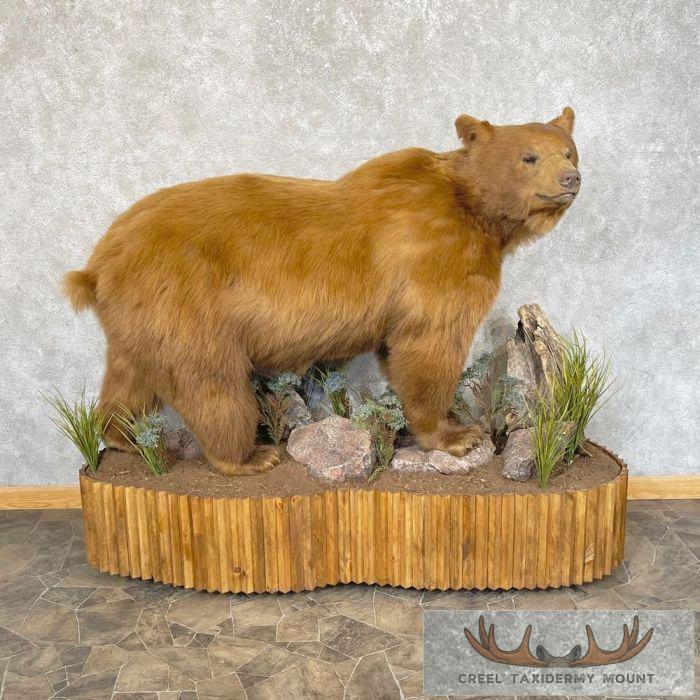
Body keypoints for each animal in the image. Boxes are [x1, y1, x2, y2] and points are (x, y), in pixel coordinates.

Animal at [64, 107, 580, 476]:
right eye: (529, 156)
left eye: (569, 151)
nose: (570, 179)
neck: (474, 210)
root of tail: (95, 268)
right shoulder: (436, 261)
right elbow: (429, 345)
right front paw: (457, 434)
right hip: (186, 304)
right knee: (213, 385)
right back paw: (249, 456)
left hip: (141, 320)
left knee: (129, 379)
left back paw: (126, 436)